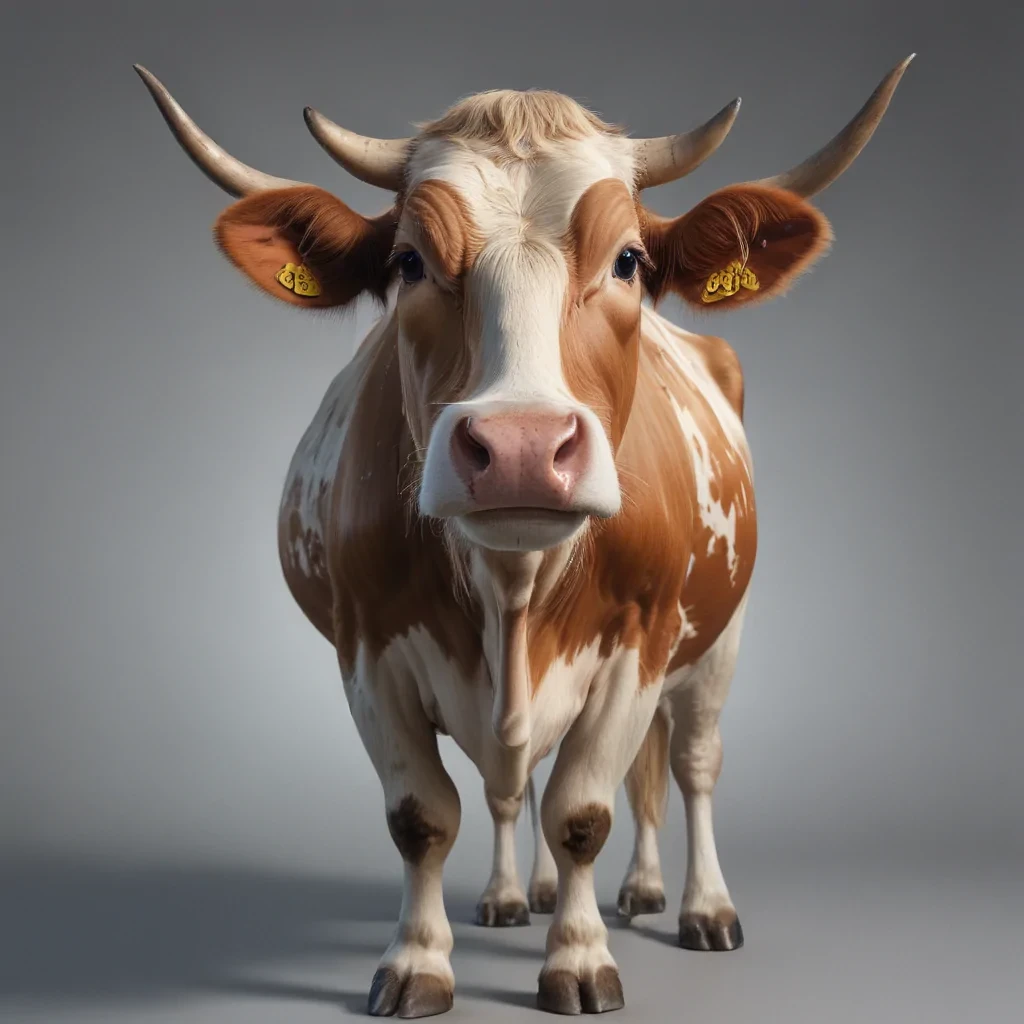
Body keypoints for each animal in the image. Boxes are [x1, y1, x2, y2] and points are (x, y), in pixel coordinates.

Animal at [136, 56, 913, 1017]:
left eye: (628, 260)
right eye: (409, 262)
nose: (519, 447)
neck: (512, 589)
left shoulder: (635, 647)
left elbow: (584, 811)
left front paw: (578, 961)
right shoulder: (366, 652)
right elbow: (424, 817)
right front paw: (418, 962)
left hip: (717, 639)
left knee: (689, 765)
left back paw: (696, 905)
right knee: (520, 789)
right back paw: (523, 893)